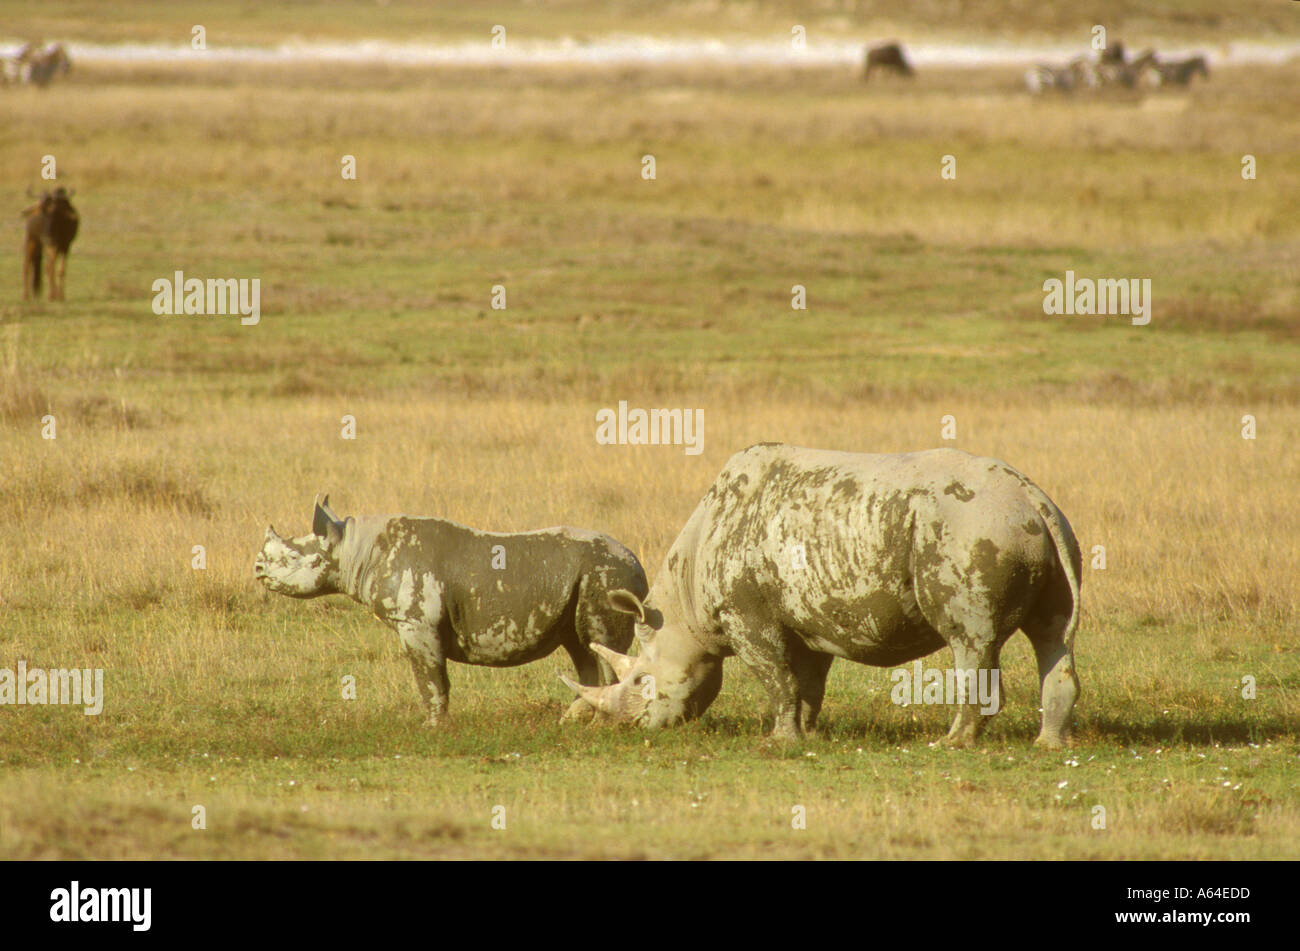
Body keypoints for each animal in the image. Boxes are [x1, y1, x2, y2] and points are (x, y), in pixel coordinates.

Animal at [255, 496, 648, 725]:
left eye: (289, 559)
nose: (256, 568)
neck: (354, 549)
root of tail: (637, 563)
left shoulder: (415, 623)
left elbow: (429, 676)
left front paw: (433, 727)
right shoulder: (417, 623)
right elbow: (431, 675)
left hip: (607, 575)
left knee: (599, 643)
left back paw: (597, 726)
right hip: (590, 577)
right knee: (582, 647)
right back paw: (571, 722)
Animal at [563, 444, 1082, 747]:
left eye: (639, 681)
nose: (625, 727)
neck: (684, 607)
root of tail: (1031, 497)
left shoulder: (745, 616)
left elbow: (776, 677)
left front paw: (778, 743)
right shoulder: (809, 617)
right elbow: (807, 683)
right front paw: (808, 735)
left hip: (970, 528)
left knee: (970, 641)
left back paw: (951, 744)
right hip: (1033, 530)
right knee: (1052, 635)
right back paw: (1048, 746)